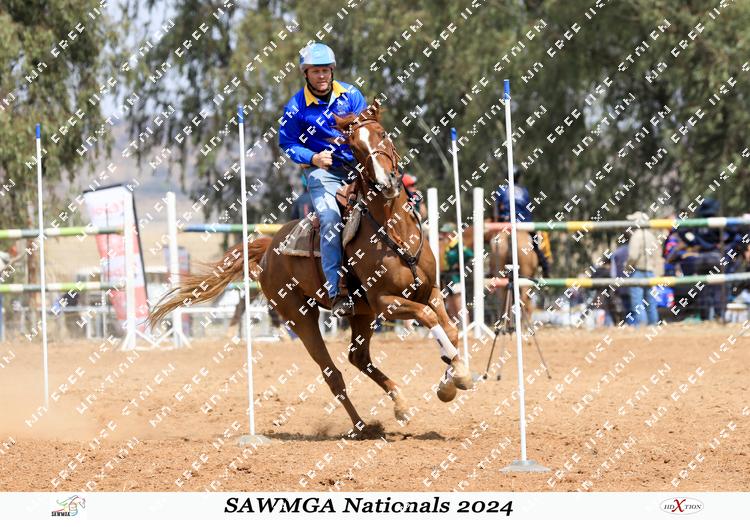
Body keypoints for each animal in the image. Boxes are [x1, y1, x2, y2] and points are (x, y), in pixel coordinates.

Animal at [149, 100, 473, 438]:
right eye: (354, 147)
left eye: (383, 134)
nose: (387, 183)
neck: (394, 231)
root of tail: (269, 247)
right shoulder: (386, 302)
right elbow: (427, 317)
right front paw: (455, 378)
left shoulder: (429, 290)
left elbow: (450, 328)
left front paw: (452, 378)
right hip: (301, 317)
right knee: (332, 374)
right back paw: (362, 426)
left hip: (361, 314)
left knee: (358, 357)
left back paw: (400, 404)